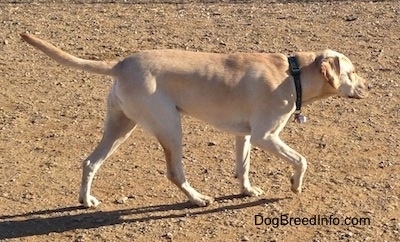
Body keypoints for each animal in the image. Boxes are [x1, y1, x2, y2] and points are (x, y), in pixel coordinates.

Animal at [20, 33, 368, 208]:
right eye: (351, 73)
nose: (369, 87)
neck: (292, 73)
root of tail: (122, 64)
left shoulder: (244, 137)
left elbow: (243, 168)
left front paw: (246, 190)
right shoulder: (265, 136)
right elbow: (302, 160)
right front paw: (295, 185)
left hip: (120, 127)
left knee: (90, 162)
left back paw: (86, 200)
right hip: (171, 128)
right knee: (175, 173)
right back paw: (198, 198)